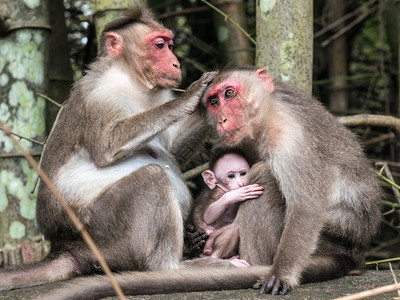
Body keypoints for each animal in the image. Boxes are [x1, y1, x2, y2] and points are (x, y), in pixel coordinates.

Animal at [202, 66, 382, 296]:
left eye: (229, 93)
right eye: (213, 101)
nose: (221, 120)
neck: (270, 114)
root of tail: (353, 253)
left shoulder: (290, 138)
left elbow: (306, 207)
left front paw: (280, 275)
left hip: (322, 245)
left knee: (264, 175)